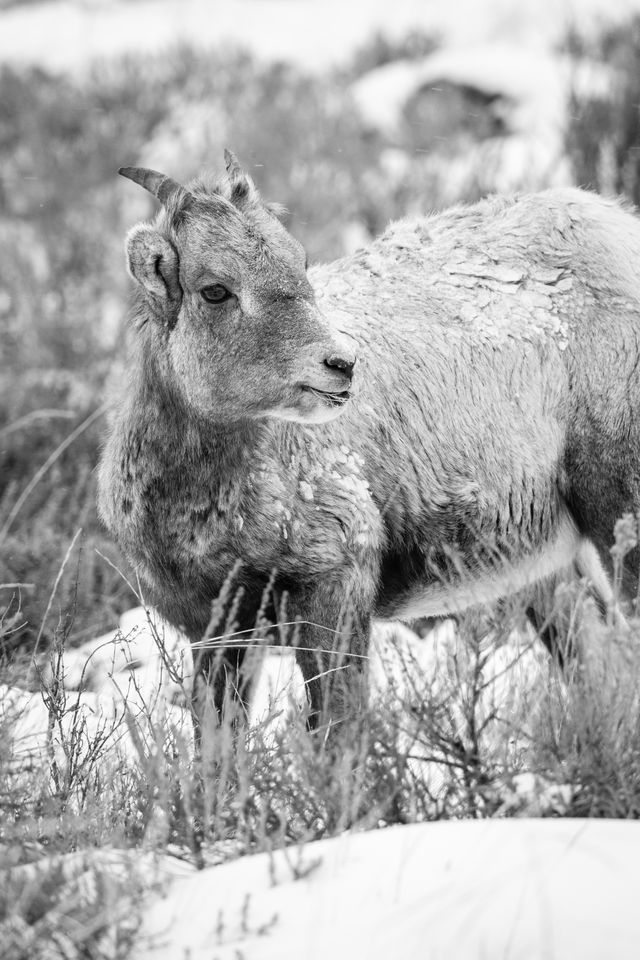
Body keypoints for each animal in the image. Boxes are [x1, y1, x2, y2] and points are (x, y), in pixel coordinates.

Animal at [97, 154, 640, 728]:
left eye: (299, 261)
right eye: (216, 289)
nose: (342, 364)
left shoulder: (336, 589)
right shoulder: (215, 630)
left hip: (615, 509)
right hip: (553, 571)